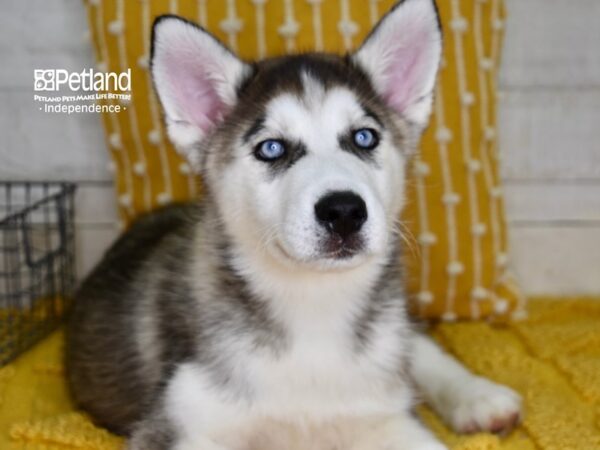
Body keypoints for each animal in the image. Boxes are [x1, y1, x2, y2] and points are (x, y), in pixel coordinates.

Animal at [67, 1, 520, 448]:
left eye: (365, 138)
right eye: (271, 148)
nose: (344, 210)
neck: (314, 305)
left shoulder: (387, 418)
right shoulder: (178, 422)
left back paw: (480, 397)